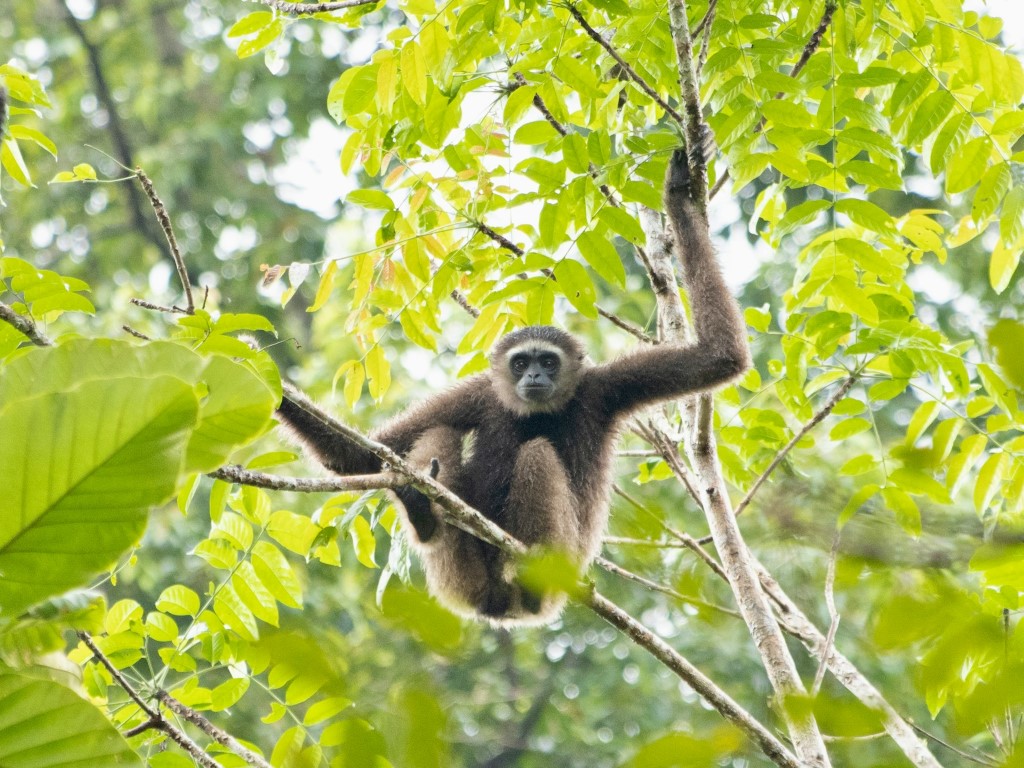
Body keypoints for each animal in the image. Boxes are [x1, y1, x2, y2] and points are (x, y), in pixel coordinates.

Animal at [276, 146, 751, 626]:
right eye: (521, 362)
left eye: (548, 362)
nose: (534, 377)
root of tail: (499, 606)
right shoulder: (480, 393)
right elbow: (353, 456)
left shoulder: (605, 386)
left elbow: (720, 356)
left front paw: (677, 196)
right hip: (461, 578)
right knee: (441, 433)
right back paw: (422, 515)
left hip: (562, 567)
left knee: (537, 453)